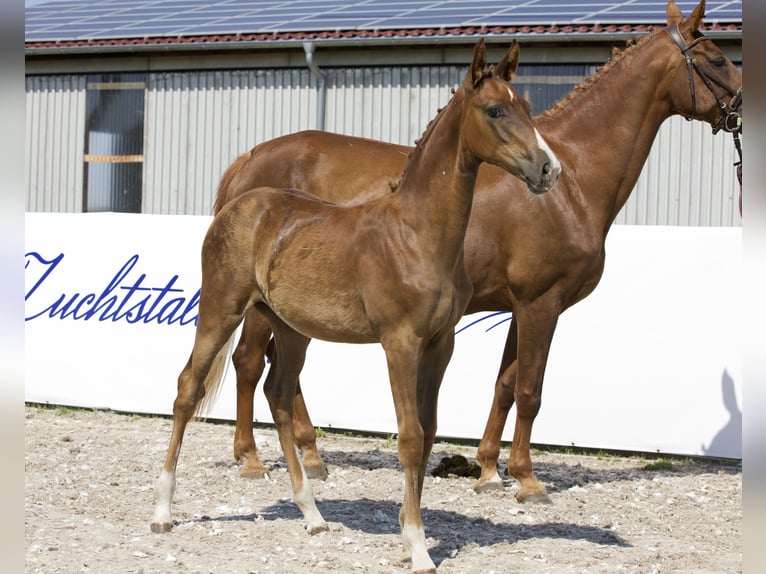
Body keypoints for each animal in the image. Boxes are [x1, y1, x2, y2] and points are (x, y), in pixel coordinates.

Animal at [152, 41, 560, 574]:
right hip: (222, 308)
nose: (549, 170)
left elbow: (429, 432)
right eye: (495, 110)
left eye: (527, 107)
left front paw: (412, 533)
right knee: (188, 388)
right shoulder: (399, 343)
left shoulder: (439, 345)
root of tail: (238, 201)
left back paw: (312, 515)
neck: (418, 234)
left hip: (289, 327)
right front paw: (417, 547)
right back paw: (162, 512)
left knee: (278, 394)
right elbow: (409, 437)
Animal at [210, 0, 744, 504]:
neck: (574, 180)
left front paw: (488, 470)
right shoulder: (540, 303)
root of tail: (251, 159)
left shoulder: (520, 306)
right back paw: (252, 458)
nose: (743, 106)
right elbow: (530, 390)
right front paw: (527, 479)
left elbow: (505, 386)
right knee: (250, 362)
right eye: (718, 59)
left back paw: (312, 455)